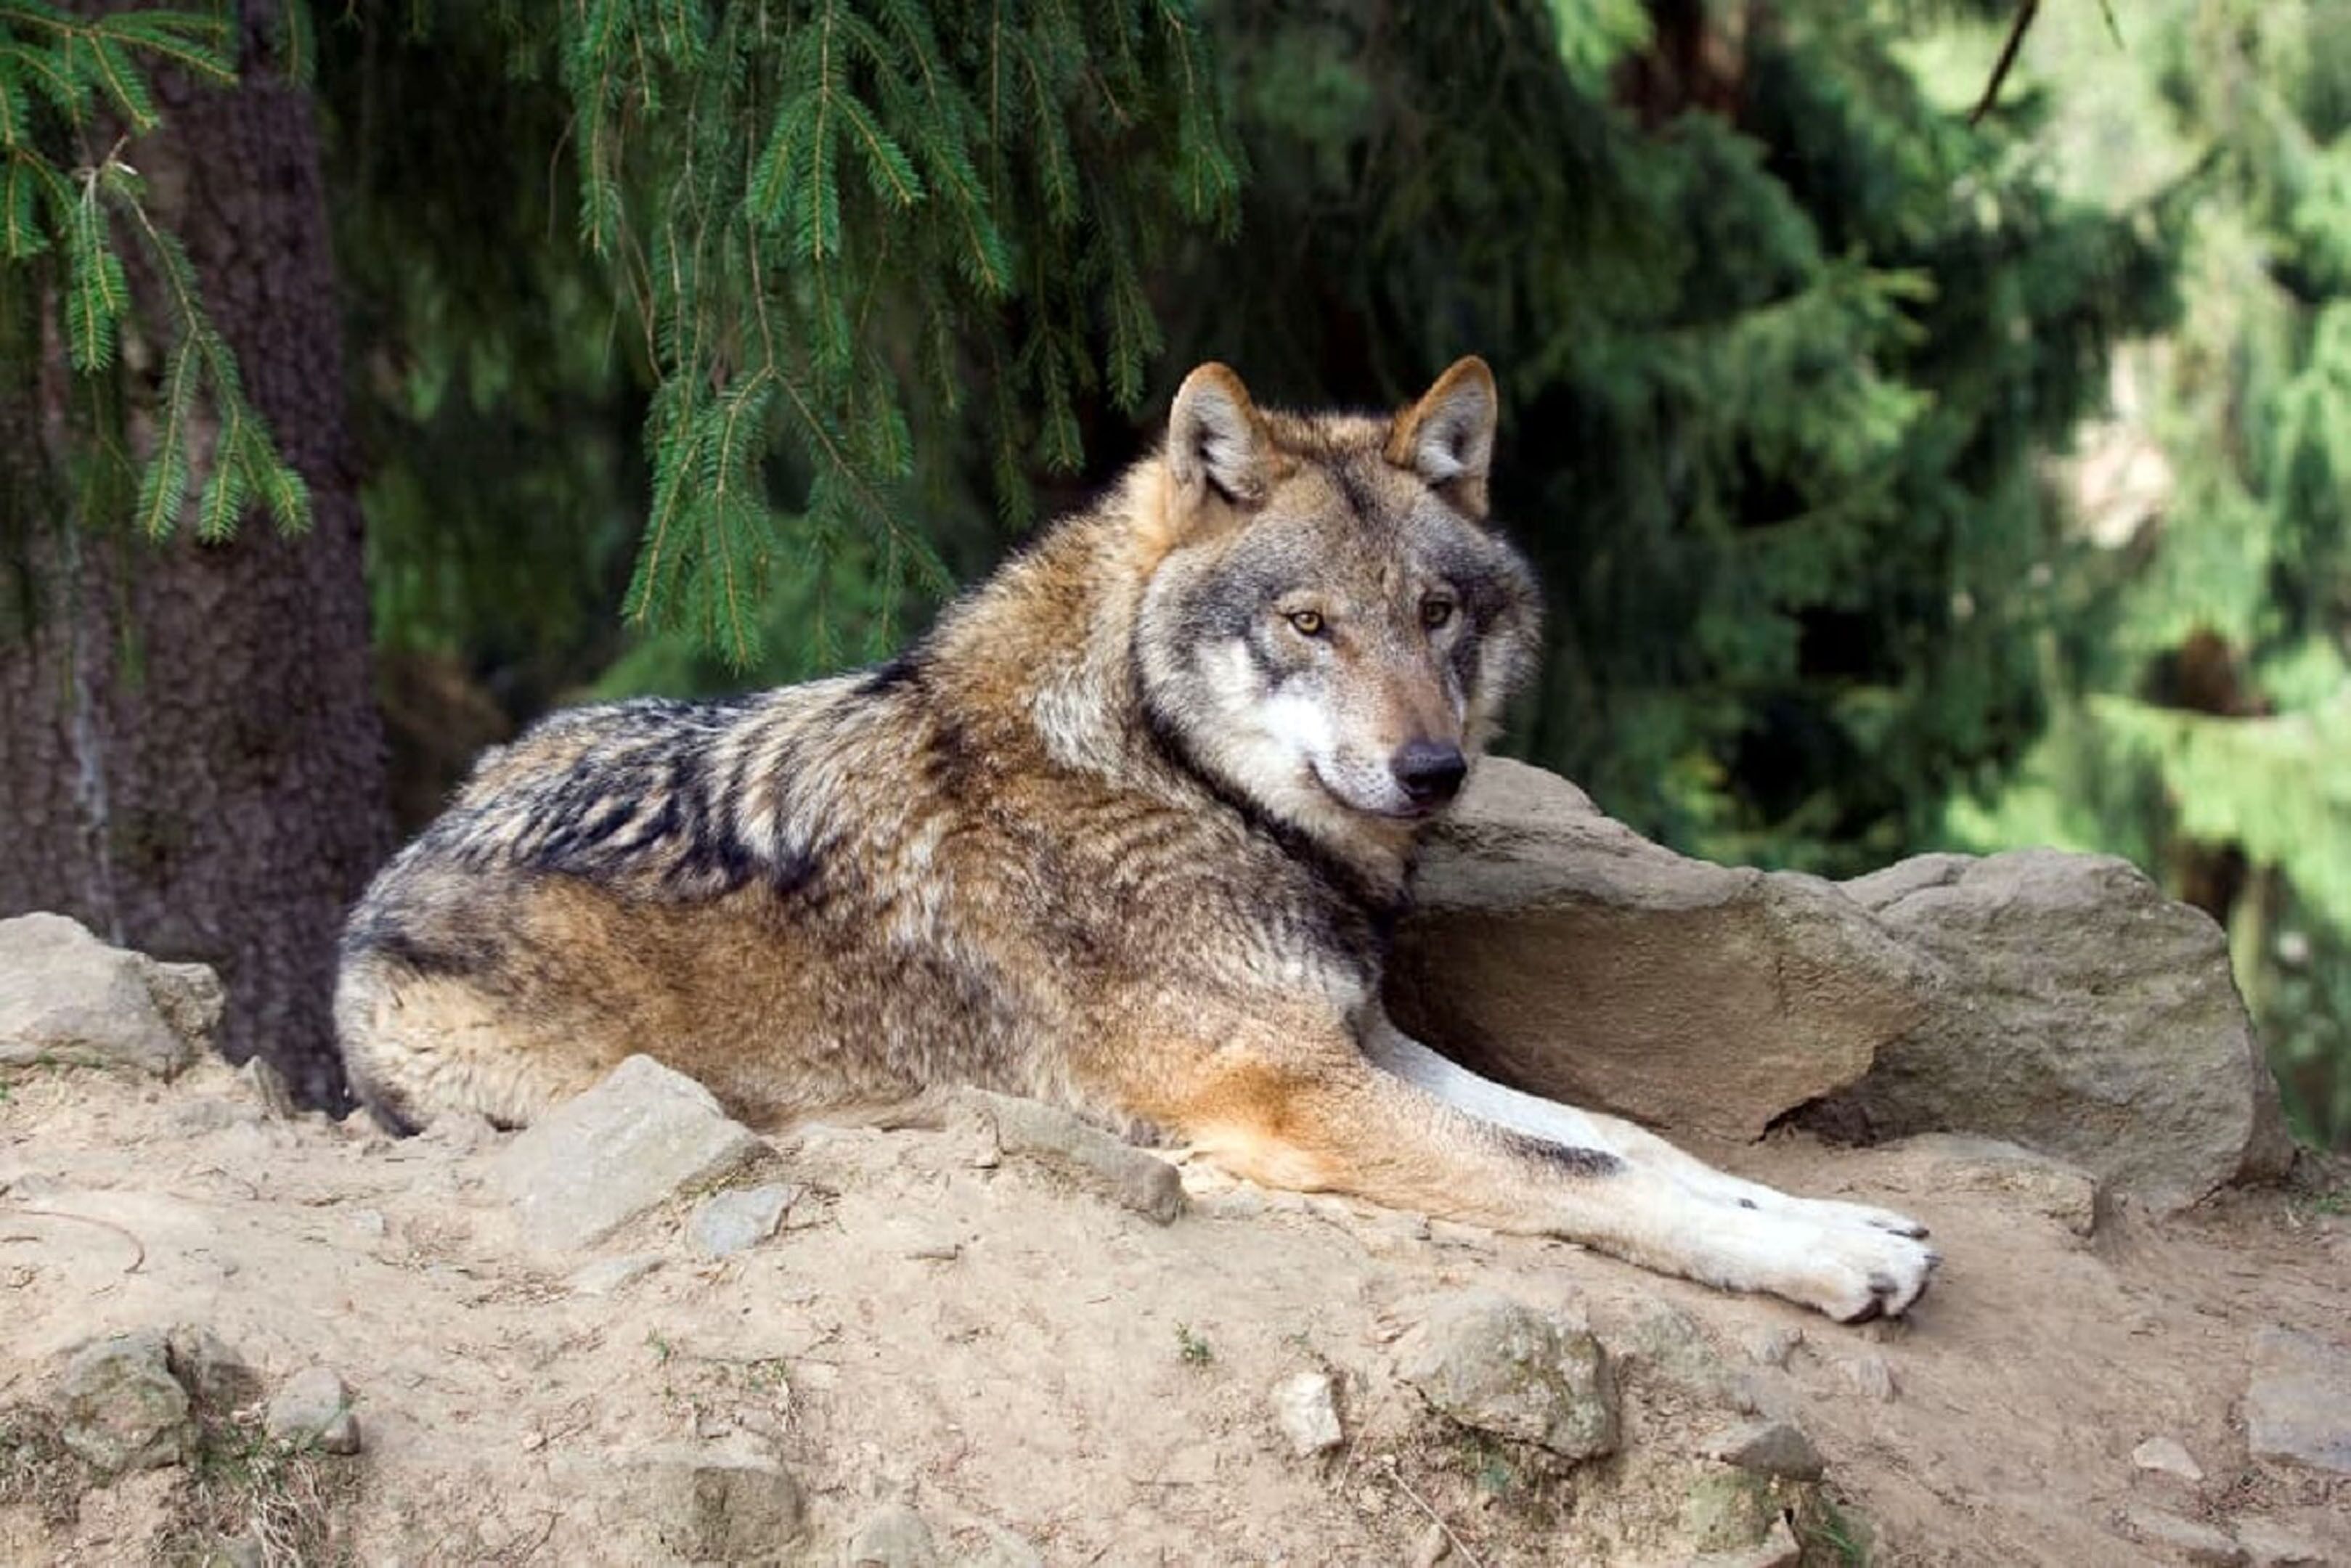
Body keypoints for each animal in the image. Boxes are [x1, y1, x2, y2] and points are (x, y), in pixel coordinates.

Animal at [336, 357, 1937, 1323]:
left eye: (1437, 613)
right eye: (1309, 623)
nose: (1430, 770)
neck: (1164, 778)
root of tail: (396, 864)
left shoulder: (1352, 1038)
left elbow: (1618, 1137)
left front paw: (1846, 1222)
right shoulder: (1290, 1093)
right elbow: (1577, 1174)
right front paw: (1818, 1256)